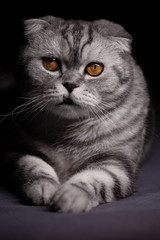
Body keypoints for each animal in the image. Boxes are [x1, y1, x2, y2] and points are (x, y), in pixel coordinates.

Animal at [0, 15, 153, 213]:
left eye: (94, 68)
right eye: (50, 63)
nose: (70, 85)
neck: (67, 130)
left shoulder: (118, 162)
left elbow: (95, 178)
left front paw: (69, 196)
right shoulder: (15, 151)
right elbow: (32, 166)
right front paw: (45, 188)